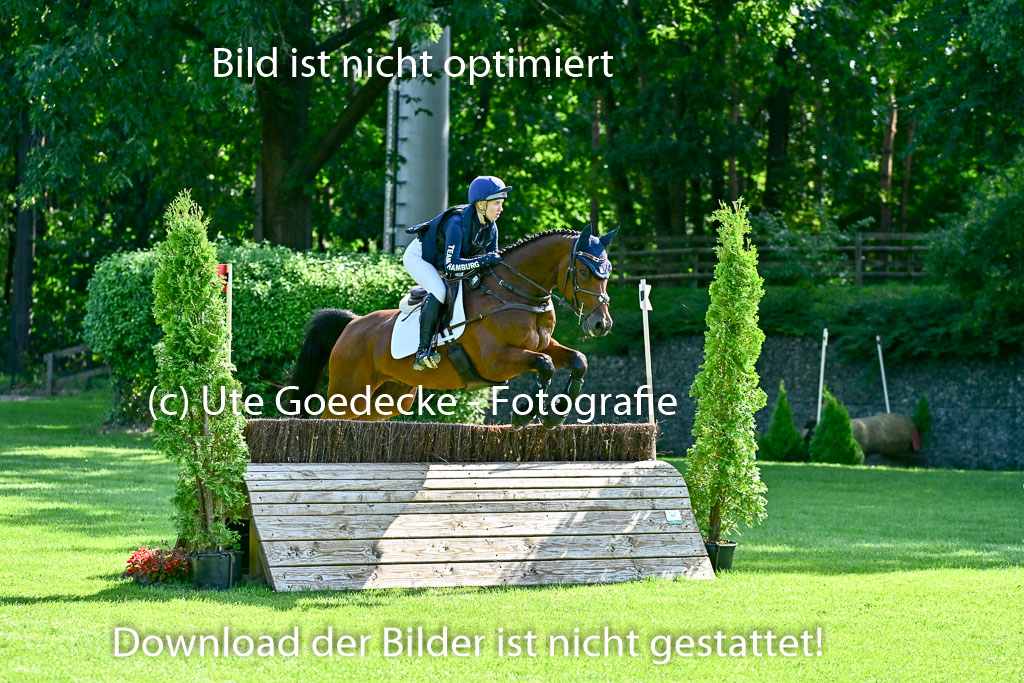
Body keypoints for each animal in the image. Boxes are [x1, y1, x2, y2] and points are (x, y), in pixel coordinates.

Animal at [289, 224, 618, 428]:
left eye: (608, 270)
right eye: (584, 272)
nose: (601, 324)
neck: (515, 292)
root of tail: (353, 323)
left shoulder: (542, 345)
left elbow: (578, 359)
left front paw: (555, 415)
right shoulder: (496, 361)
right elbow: (545, 365)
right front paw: (525, 417)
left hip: (391, 396)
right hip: (349, 390)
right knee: (328, 419)